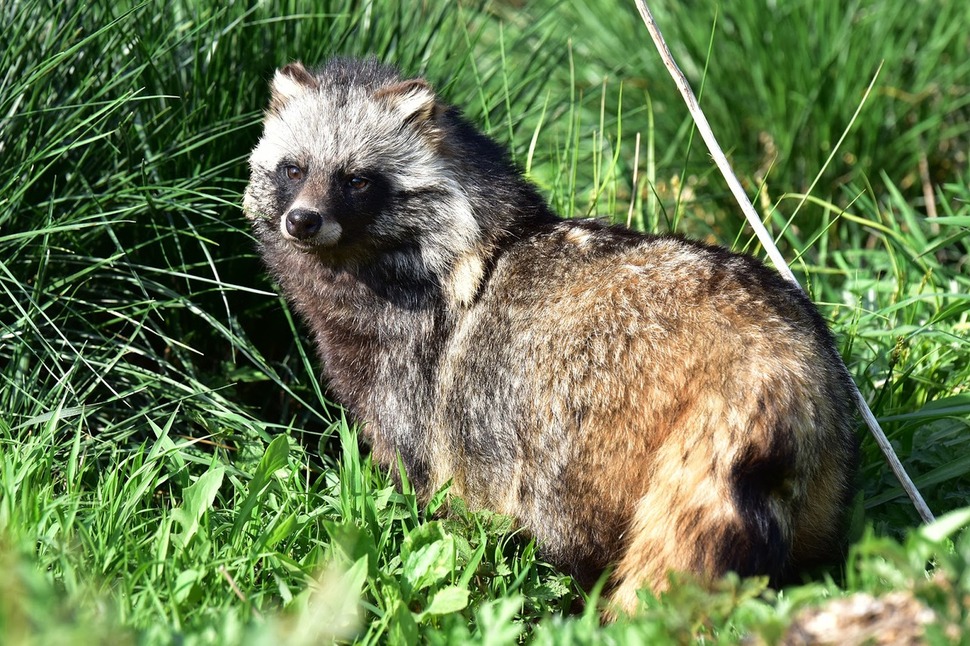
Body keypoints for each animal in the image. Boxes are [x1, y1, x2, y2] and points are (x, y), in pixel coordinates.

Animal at [242, 58, 856, 616]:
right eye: (293, 169)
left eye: (357, 180)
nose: (302, 221)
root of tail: (764, 353)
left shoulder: (414, 378)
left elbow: (424, 490)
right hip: (821, 470)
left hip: (585, 422)